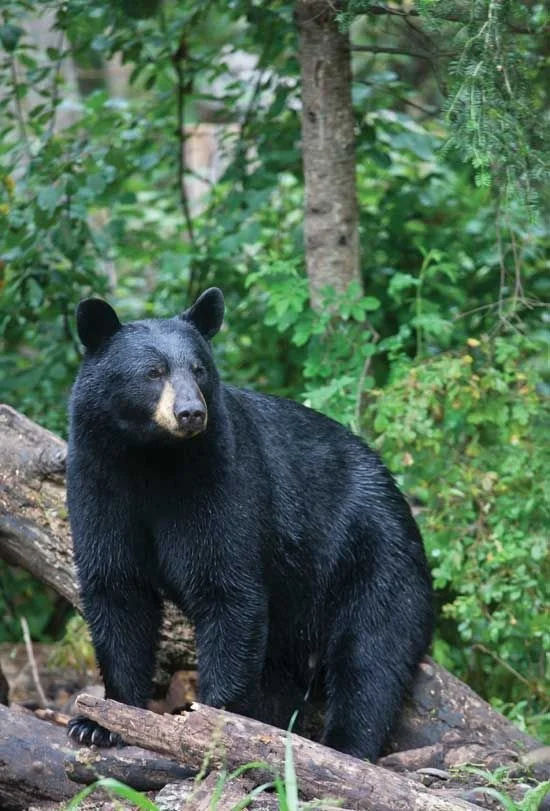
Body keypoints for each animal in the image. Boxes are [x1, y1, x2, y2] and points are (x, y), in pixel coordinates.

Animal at [66, 287, 434, 760]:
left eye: (199, 369)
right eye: (153, 372)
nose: (190, 412)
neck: (152, 459)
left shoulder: (220, 481)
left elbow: (228, 589)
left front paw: (215, 723)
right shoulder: (98, 482)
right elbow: (117, 590)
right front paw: (99, 722)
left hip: (373, 552)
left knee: (372, 651)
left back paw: (345, 745)